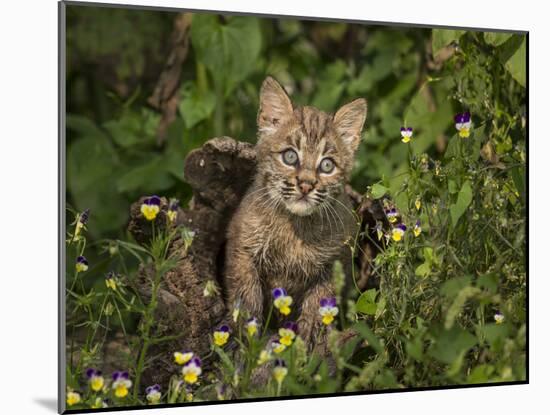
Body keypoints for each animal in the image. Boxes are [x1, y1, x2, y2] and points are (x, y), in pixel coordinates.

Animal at [224, 76, 366, 350]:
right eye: (290, 157)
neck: (295, 226)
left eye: (327, 165)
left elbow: (321, 302)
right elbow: (246, 295)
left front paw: (309, 338)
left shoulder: (335, 260)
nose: (306, 185)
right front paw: (248, 338)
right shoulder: (242, 248)